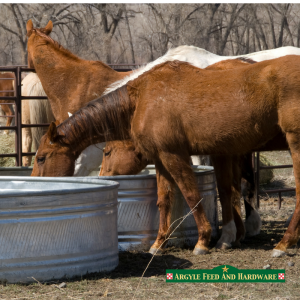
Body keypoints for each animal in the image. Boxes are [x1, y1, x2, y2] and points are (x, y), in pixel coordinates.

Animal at [31, 56, 300, 258]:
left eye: (42, 157)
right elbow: (164, 199)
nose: (36, 181)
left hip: (294, 143)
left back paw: (283, 244)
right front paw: (159, 243)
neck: (142, 98)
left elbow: (192, 195)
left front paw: (202, 241)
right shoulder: (160, 158)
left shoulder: (174, 155)